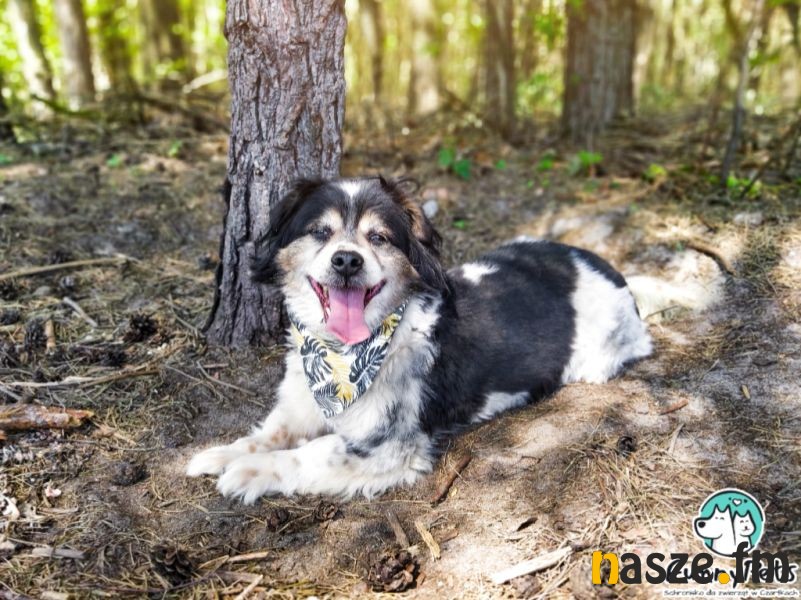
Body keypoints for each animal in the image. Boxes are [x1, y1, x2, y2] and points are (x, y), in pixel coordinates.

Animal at [187, 177, 652, 503]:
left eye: (378, 237)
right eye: (320, 232)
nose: (346, 260)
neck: (341, 356)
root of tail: (609, 270)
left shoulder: (391, 446)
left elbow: (311, 452)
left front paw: (249, 471)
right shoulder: (301, 405)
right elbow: (271, 432)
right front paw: (224, 453)